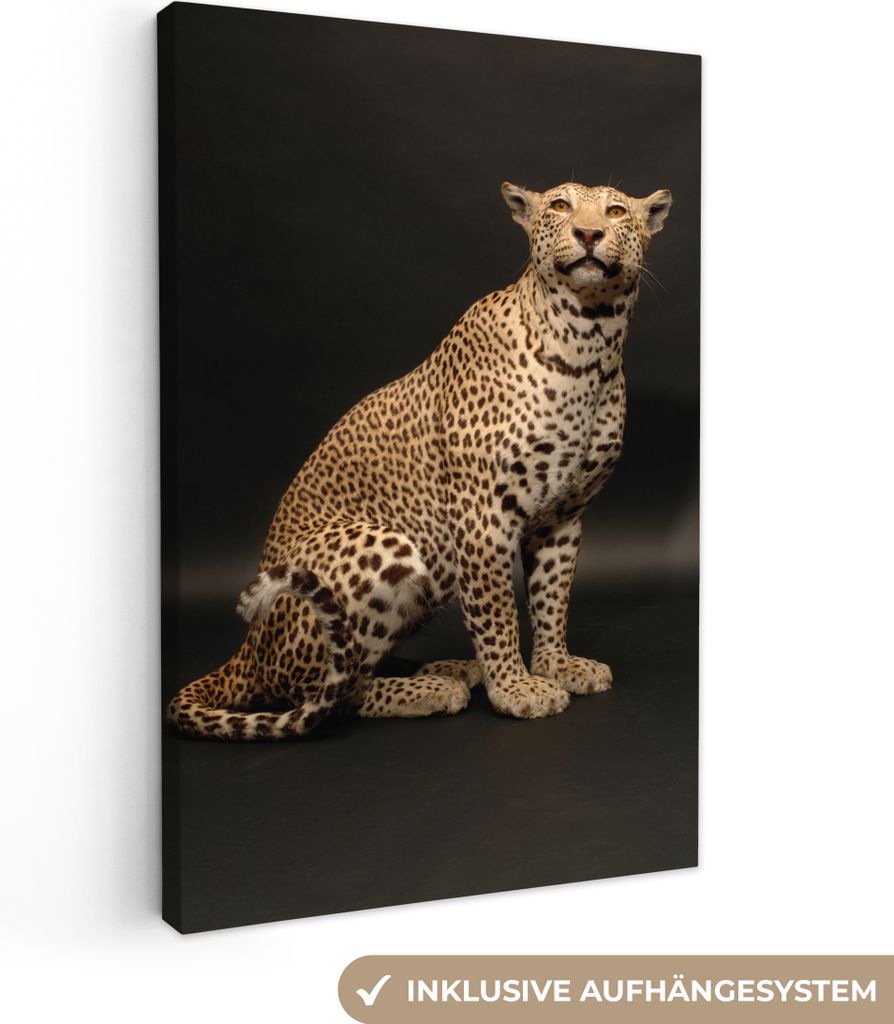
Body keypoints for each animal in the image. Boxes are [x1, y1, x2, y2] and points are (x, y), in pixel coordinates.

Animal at [168, 180, 672, 740]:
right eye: (561, 206)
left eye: (616, 211)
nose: (588, 233)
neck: (591, 342)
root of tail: (249, 649)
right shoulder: (482, 515)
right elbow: (497, 610)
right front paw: (515, 688)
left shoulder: (562, 517)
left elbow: (551, 598)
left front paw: (556, 665)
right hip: (379, 546)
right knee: (324, 693)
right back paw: (433, 688)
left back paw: (449, 669)